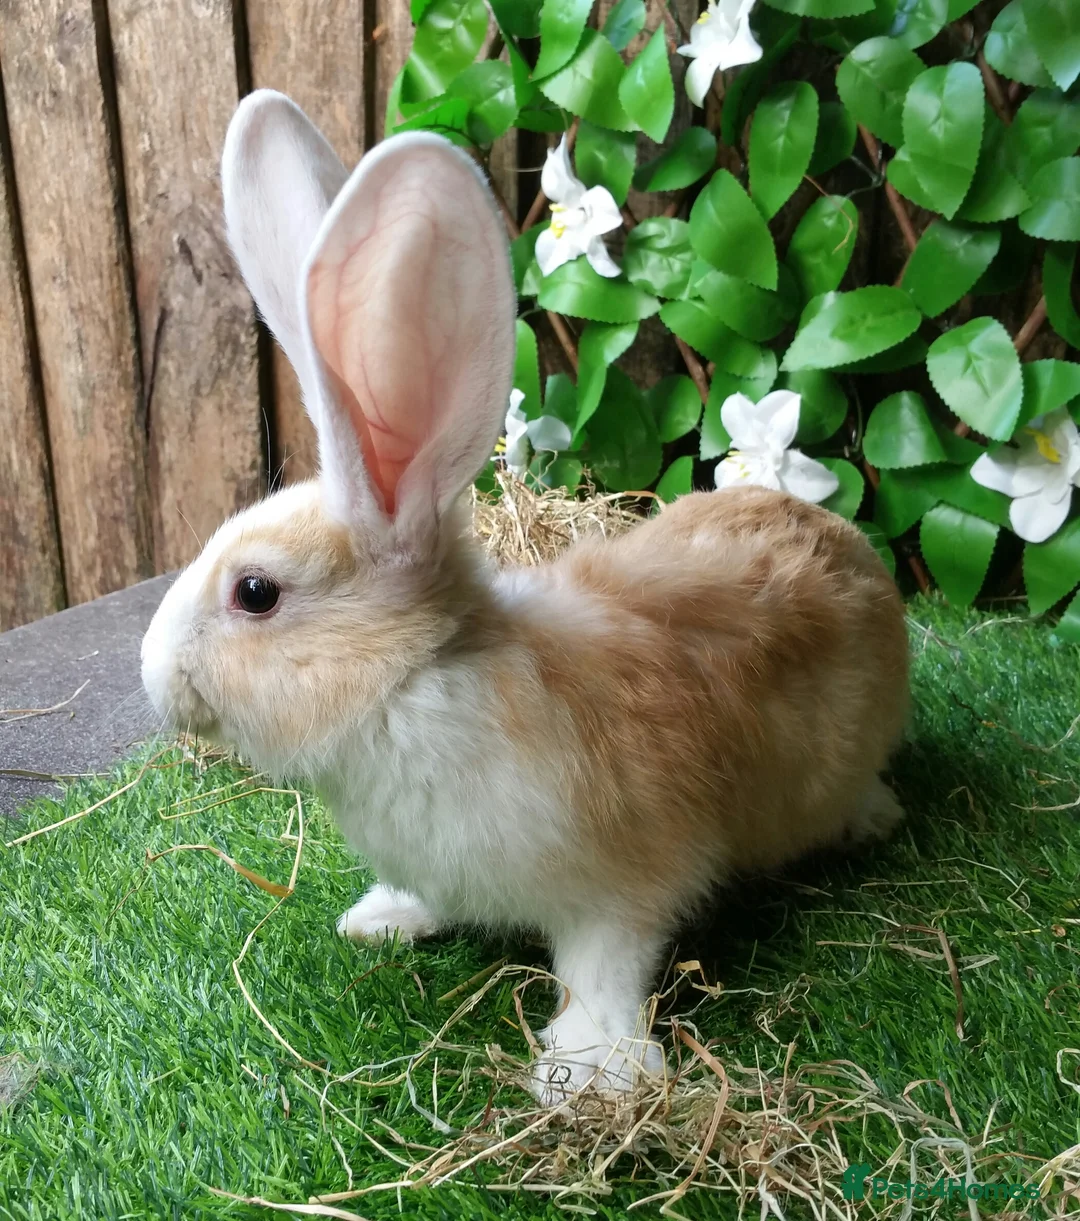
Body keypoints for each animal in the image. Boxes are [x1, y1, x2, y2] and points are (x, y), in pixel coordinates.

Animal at [141, 89, 910, 1105]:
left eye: (256, 592)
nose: (152, 672)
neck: (415, 678)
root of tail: (848, 543)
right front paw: (382, 917)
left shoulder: (628, 881)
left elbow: (604, 966)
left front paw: (589, 1070)